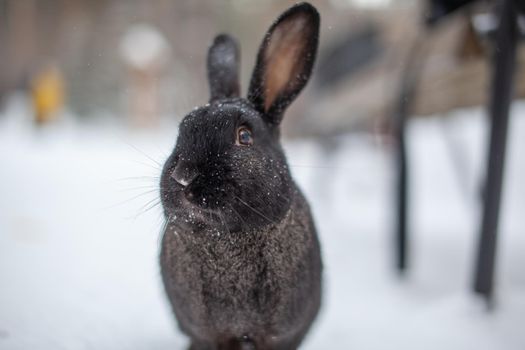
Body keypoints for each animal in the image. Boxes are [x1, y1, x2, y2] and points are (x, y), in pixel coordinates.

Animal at [160, 3, 322, 350]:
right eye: (182, 129)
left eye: (244, 137)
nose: (183, 175)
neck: (226, 239)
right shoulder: (210, 335)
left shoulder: (278, 336)